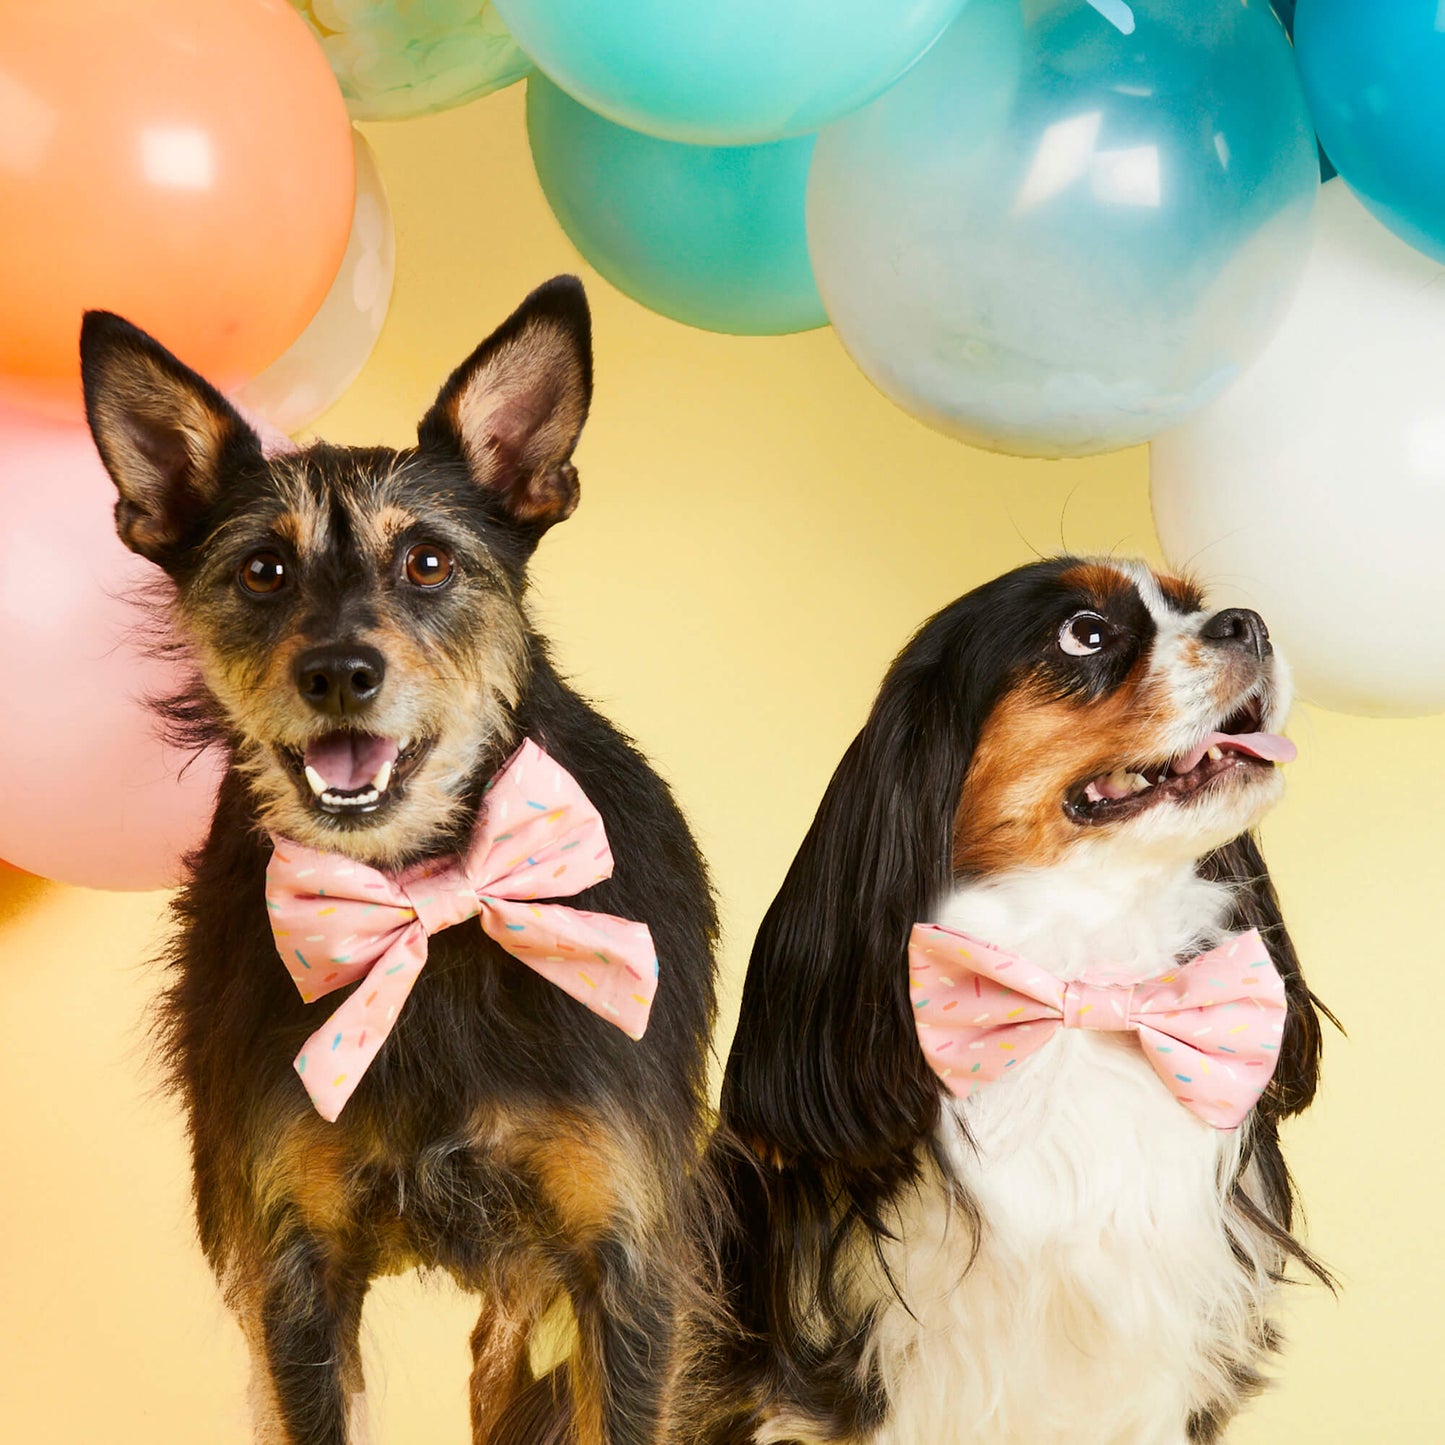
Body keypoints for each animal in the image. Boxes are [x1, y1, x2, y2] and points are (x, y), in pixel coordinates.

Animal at [80, 277, 717, 1445]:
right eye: (263, 568)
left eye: (427, 560)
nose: (339, 671)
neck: (428, 900)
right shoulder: (289, 1271)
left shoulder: (623, 1264)